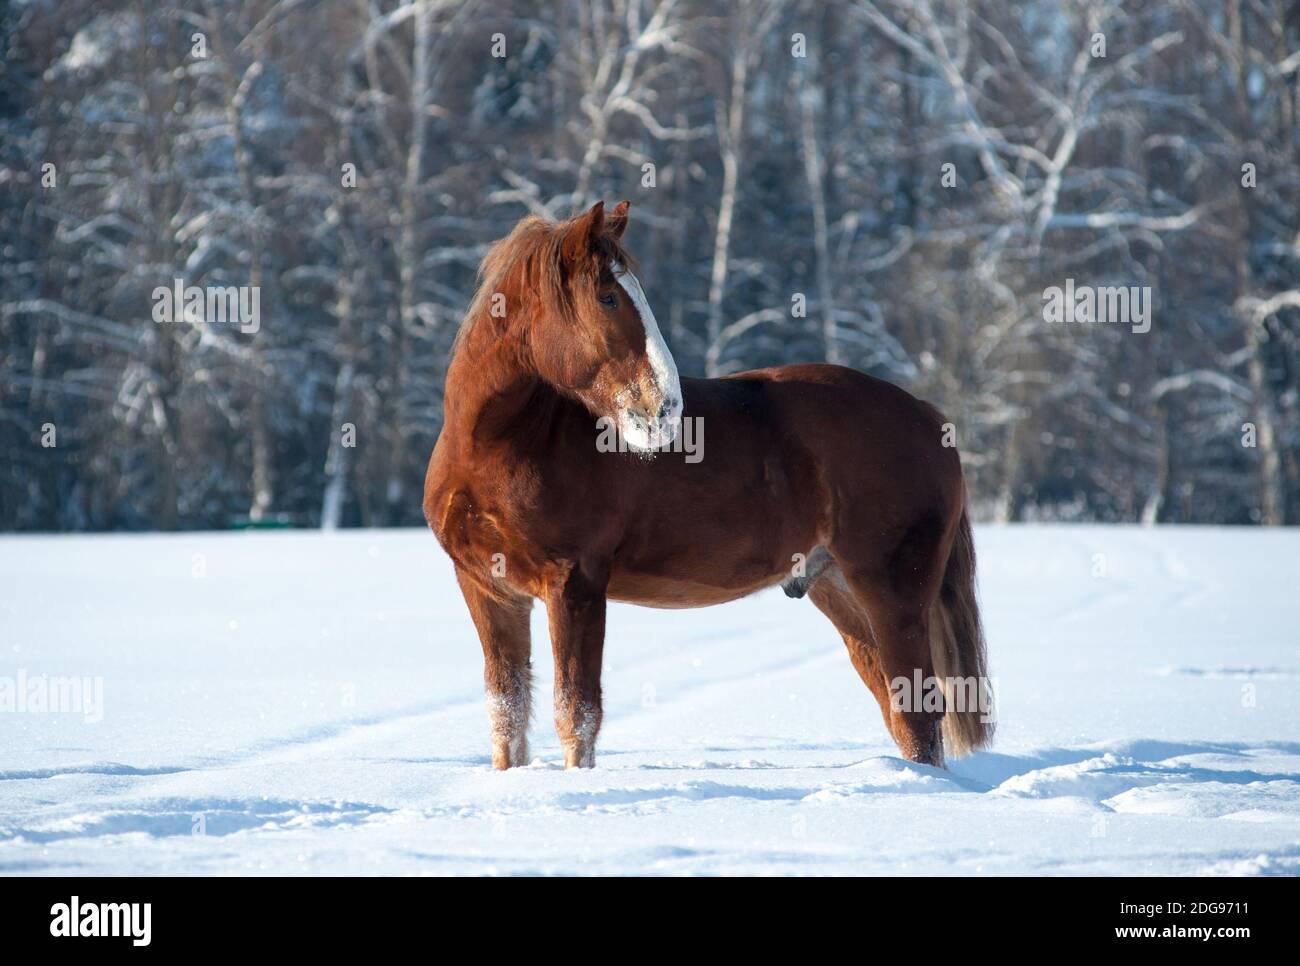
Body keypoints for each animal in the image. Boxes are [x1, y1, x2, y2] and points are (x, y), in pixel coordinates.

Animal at [421, 201, 987, 769]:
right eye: (607, 296)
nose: (666, 409)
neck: (497, 445)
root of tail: (927, 414)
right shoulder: (489, 591)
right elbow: (507, 713)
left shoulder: (575, 585)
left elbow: (575, 713)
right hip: (842, 593)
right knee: (898, 710)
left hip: (893, 594)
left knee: (917, 713)